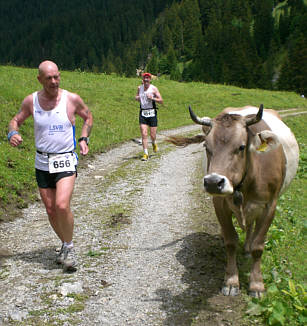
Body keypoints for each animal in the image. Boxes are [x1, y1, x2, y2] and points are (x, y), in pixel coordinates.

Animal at [170, 105, 300, 298]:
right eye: (206, 146)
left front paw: (256, 284)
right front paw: (231, 281)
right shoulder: (219, 204)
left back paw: (247, 249)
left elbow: (258, 247)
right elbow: (230, 242)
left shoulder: (270, 206)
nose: (213, 182)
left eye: (241, 147)